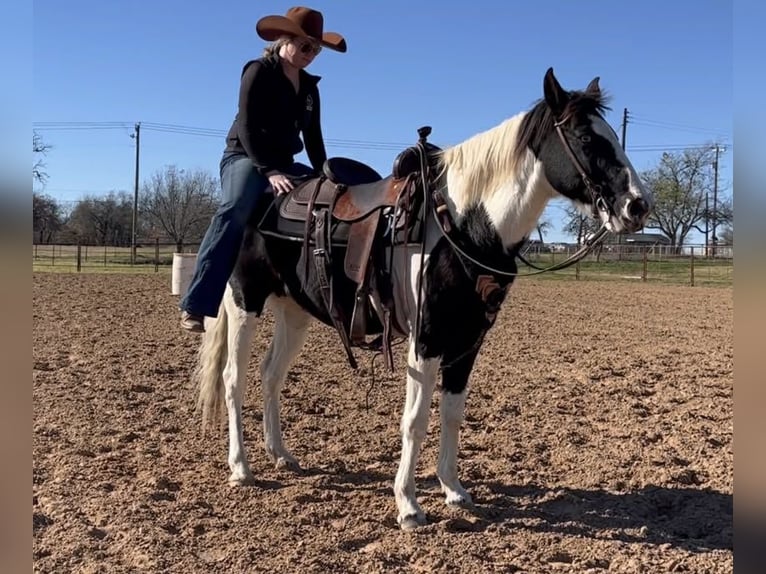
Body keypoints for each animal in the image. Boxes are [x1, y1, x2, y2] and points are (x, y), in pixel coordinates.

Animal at [191, 67, 654, 531]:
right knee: (234, 378)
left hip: (295, 311)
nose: (638, 206)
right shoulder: (426, 339)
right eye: (587, 137)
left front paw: (454, 490)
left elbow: (452, 413)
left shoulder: (467, 340)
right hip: (244, 302)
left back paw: (282, 455)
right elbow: (415, 421)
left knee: (271, 375)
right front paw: (408, 505)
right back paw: (241, 467)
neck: (462, 225)